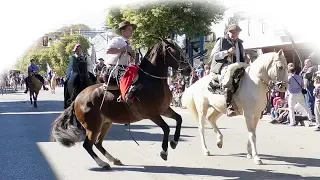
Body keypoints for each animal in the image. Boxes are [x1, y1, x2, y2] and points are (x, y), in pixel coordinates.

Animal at [50, 38, 190, 169]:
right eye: (173, 50)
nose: (188, 69)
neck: (151, 81)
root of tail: (77, 99)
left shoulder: (164, 109)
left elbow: (179, 119)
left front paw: (174, 142)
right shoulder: (152, 114)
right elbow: (166, 128)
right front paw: (164, 152)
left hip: (106, 123)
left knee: (98, 143)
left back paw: (113, 159)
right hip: (93, 126)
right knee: (88, 145)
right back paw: (103, 163)